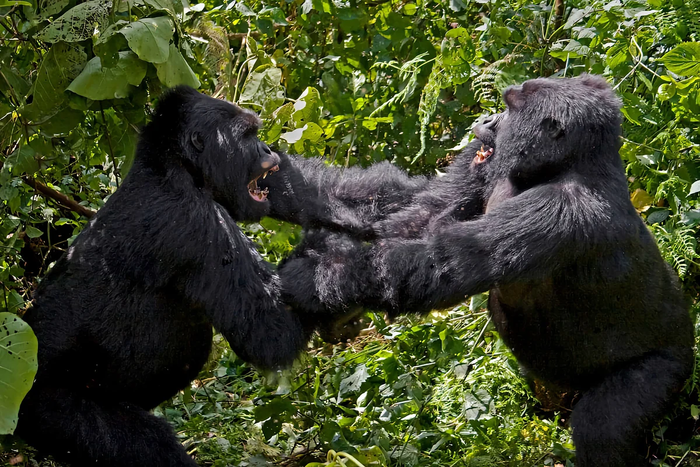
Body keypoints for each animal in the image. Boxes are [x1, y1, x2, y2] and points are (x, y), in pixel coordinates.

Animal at [15, 86, 318, 466]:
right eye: (247, 135)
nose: (267, 151)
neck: (173, 166)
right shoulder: (197, 220)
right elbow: (271, 333)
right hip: (48, 411)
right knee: (144, 442)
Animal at [268, 75, 696, 466]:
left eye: (509, 108)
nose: (486, 120)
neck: (569, 165)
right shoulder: (483, 164)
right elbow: (412, 206)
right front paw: (272, 179)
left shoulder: (563, 211)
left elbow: (439, 263)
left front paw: (313, 281)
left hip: (669, 366)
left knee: (603, 426)